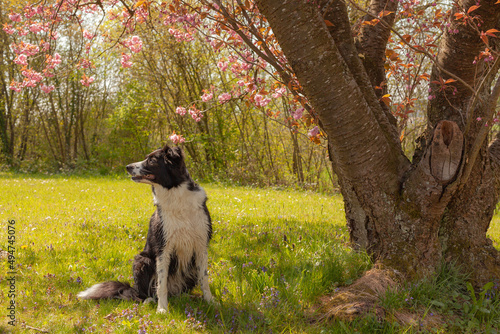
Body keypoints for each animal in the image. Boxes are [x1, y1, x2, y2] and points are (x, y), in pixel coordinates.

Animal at [78, 144, 213, 314]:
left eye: (152, 160)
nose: (127, 167)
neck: (175, 194)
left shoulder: (201, 245)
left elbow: (204, 279)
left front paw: (211, 302)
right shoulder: (163, 247)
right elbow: (161, 284)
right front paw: (162, 309)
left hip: (189, 267)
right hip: (142, 260)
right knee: (142, 294)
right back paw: (149, 301)